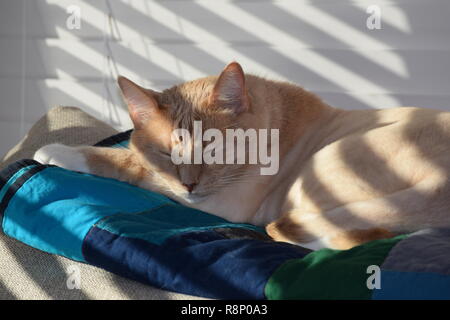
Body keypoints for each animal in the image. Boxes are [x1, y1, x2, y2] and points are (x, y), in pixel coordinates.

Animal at [35, 60, 450, 250]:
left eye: (211, 148)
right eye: (167, 152)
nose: (189, 186)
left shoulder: (229, 202)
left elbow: (129, 164)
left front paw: (57, 151)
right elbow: (137, 158)